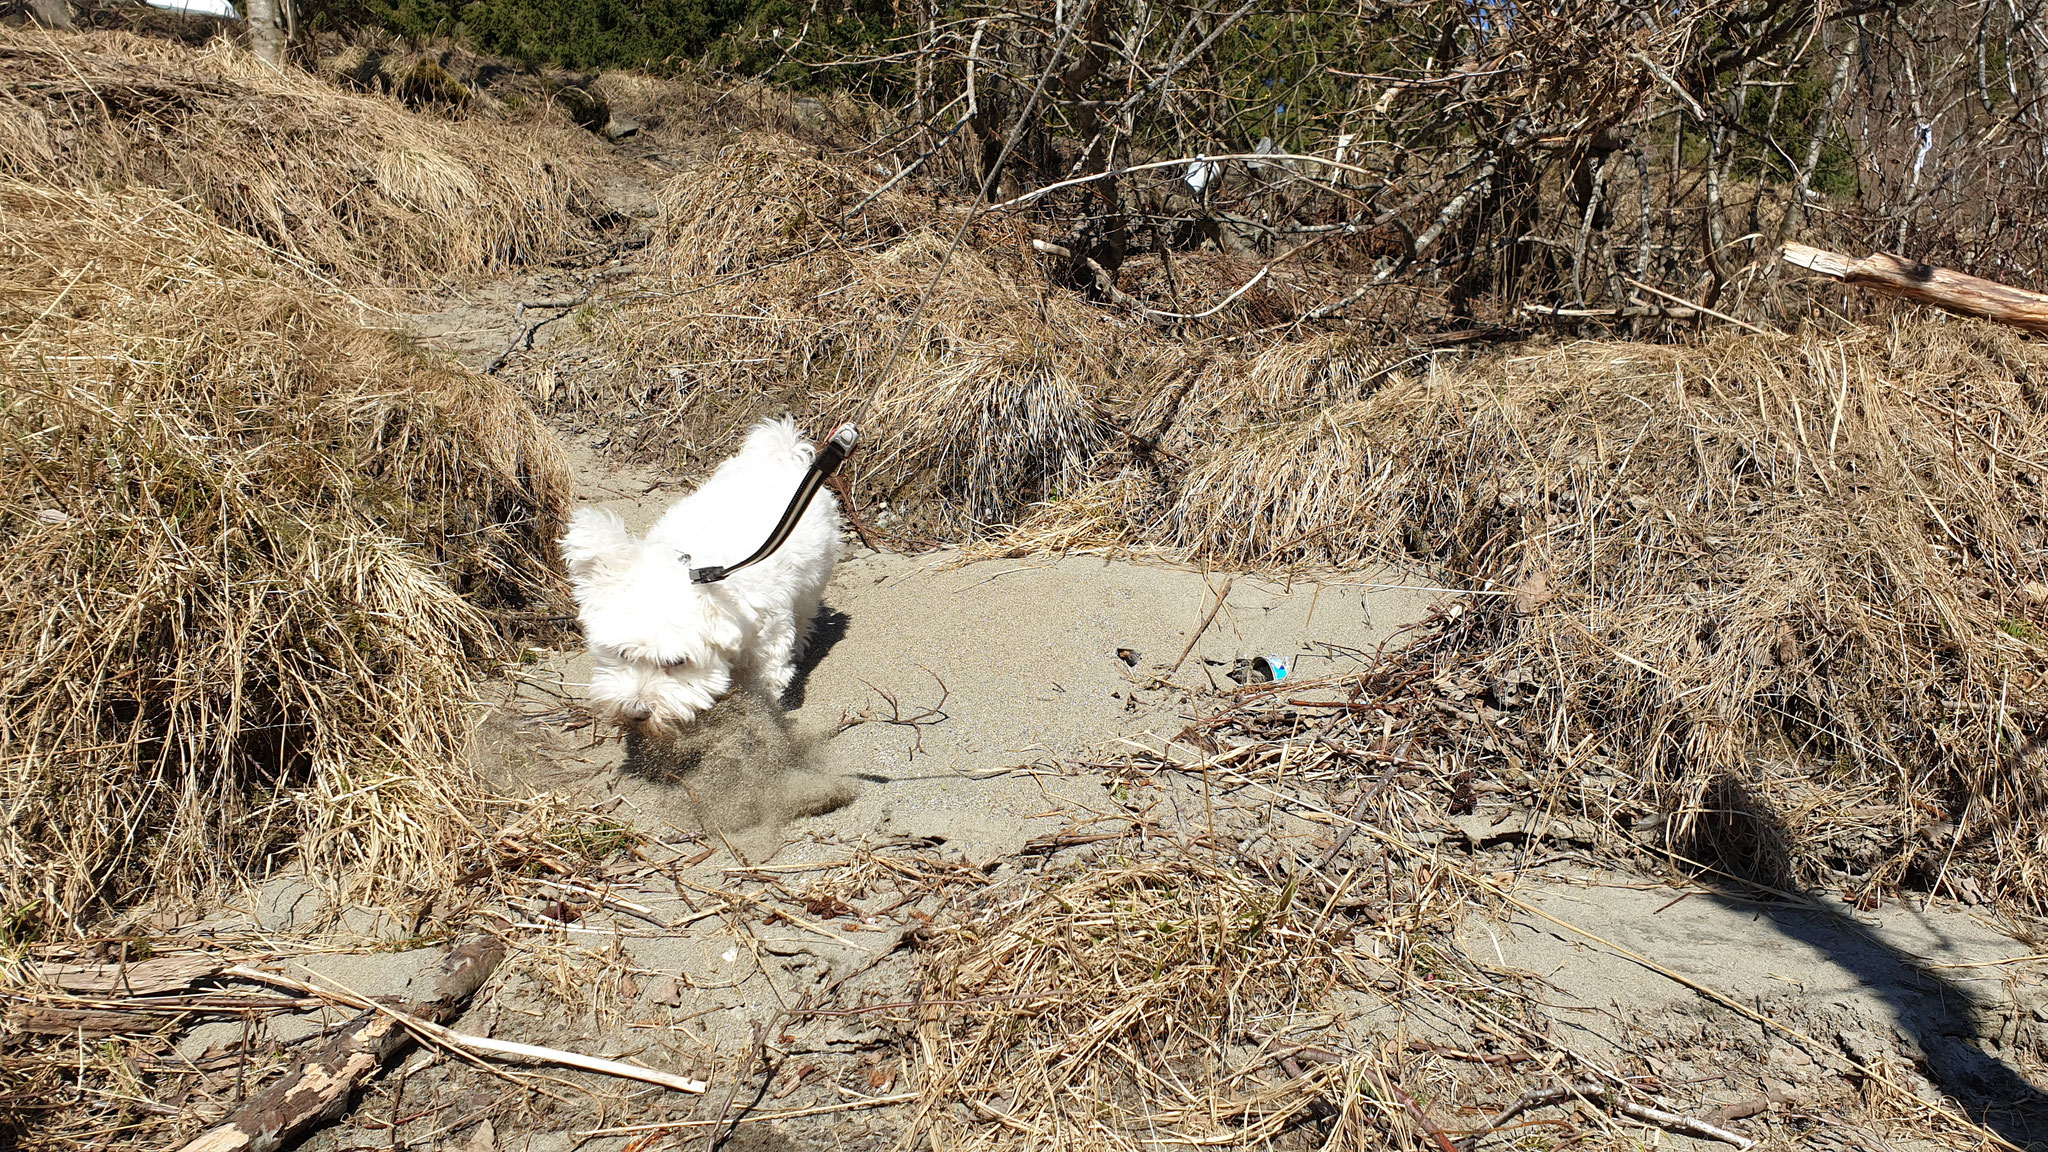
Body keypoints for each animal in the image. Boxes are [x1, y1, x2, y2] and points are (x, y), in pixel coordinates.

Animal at [561, 416, 839, 729]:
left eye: (677, 662)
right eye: (623, 653)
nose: (636, 712)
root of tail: (780, 457)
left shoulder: (769, 647)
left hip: (814, 578)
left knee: (805, 610)